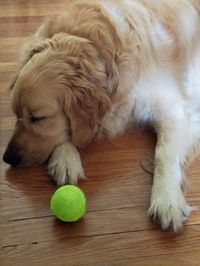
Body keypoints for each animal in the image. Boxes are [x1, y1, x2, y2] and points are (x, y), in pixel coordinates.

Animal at [2, 0, 200, 230]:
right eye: (16, 115)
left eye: (37, 118)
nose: (7, 158)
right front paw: (65, 159)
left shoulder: (173, 110)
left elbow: (164, 152)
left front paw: (167, 199)